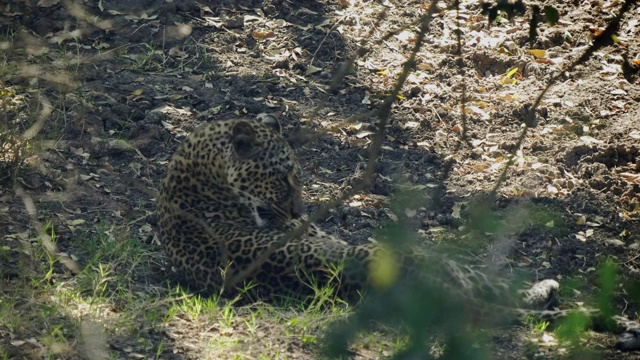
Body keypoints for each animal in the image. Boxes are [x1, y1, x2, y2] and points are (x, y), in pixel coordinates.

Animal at [156, 116, 640, 352]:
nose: (300, 212)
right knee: (504, 294)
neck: (194, 173)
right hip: (434, 260)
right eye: (284, 179)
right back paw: (557, 292)